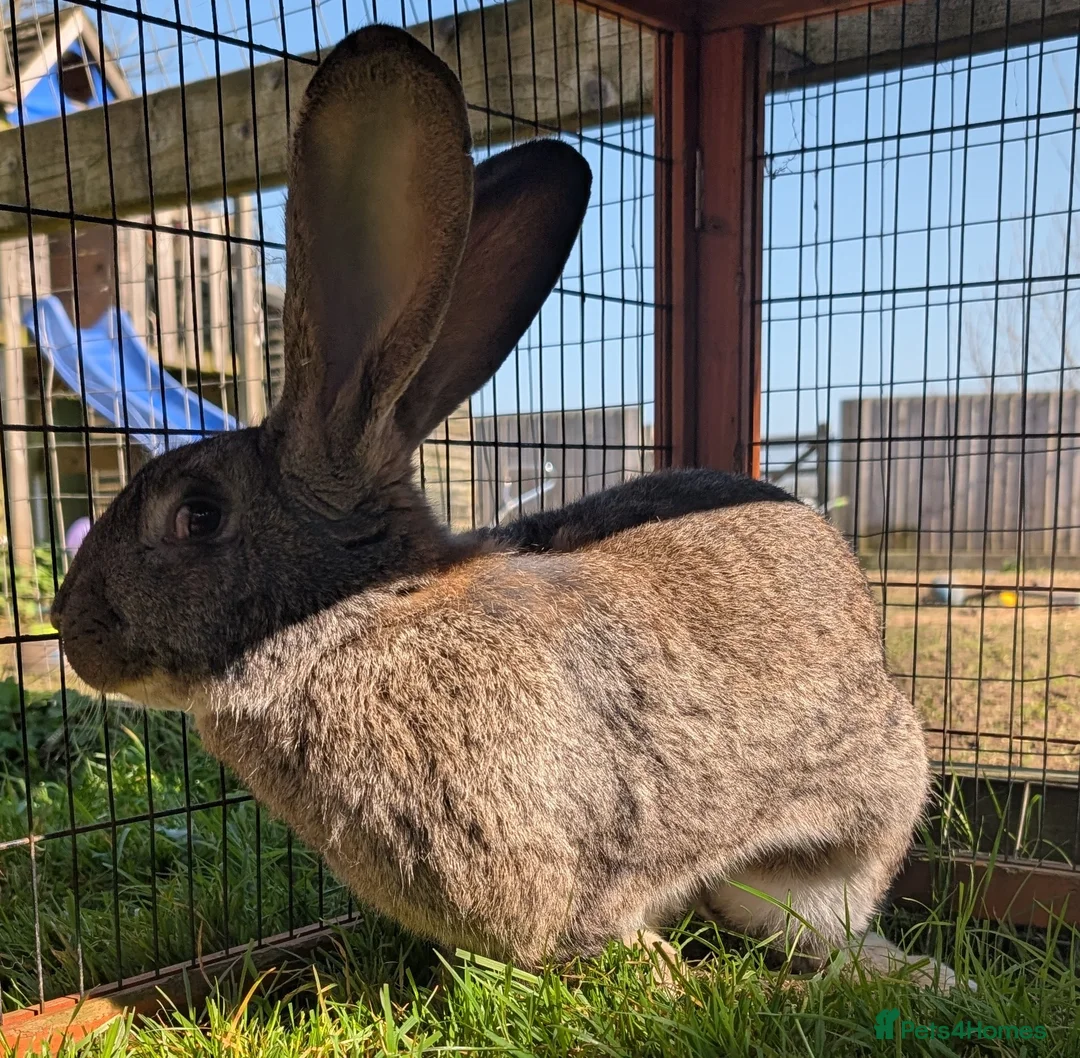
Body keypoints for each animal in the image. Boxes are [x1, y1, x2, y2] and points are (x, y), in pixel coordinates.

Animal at [51, 24, 958, 989]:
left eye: (198, 516)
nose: (69, 629)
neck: (363, 614)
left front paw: (663, 976)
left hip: (835, 844)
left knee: (825, 928)